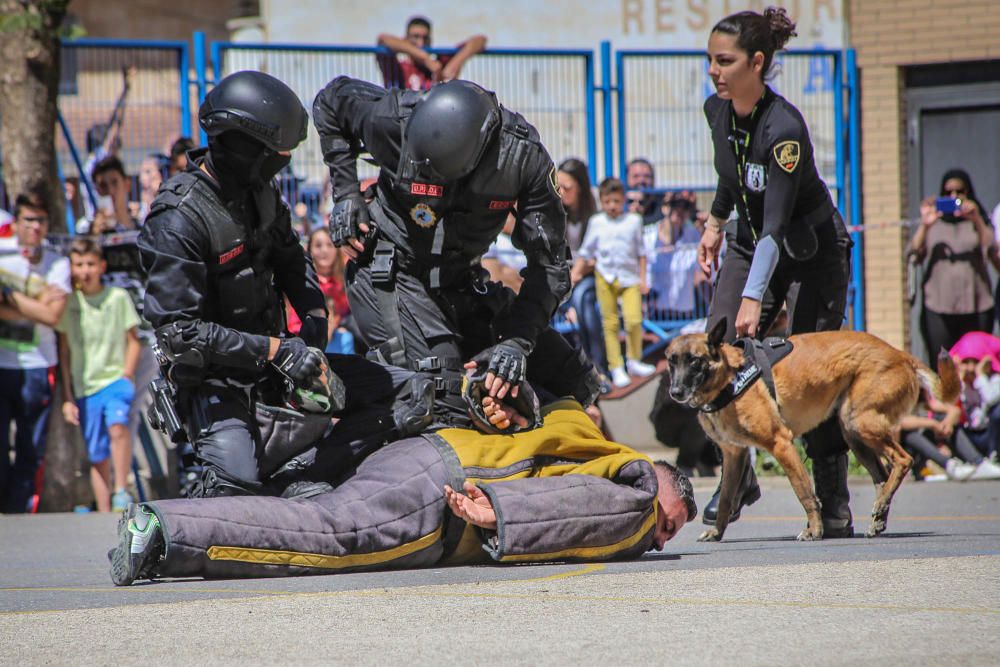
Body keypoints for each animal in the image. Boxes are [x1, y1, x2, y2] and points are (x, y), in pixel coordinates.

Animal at [664, 318, 960, 544]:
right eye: (671, 362)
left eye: (695, 361)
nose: (675, 392)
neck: (729, 378)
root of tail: (902, 355)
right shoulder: (734, 455)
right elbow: (726, 499)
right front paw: (717, 532)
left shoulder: (781, 444)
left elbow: (804, 491)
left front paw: (815, 530)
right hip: (853, 433)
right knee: (882, 475)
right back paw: (879, 516)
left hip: (861, 422)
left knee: (903, 460)